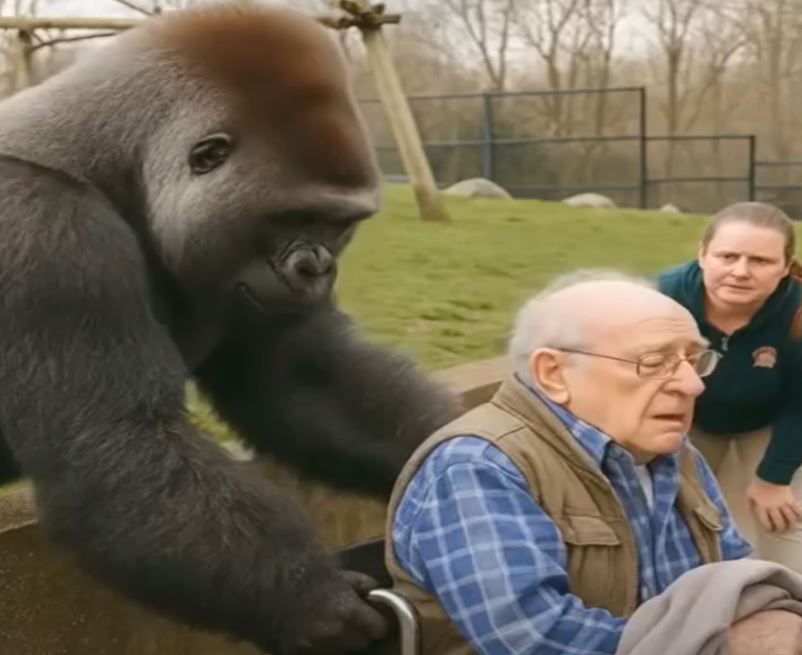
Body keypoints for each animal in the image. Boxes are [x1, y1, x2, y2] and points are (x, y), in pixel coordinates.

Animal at [0, 4, 463, 654]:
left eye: (338, 224)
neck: (113, 163)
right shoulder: (40, 228)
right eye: (295, 217)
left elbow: (300, 380)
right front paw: (310, 598)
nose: (317, 268)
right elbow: (113, 441)